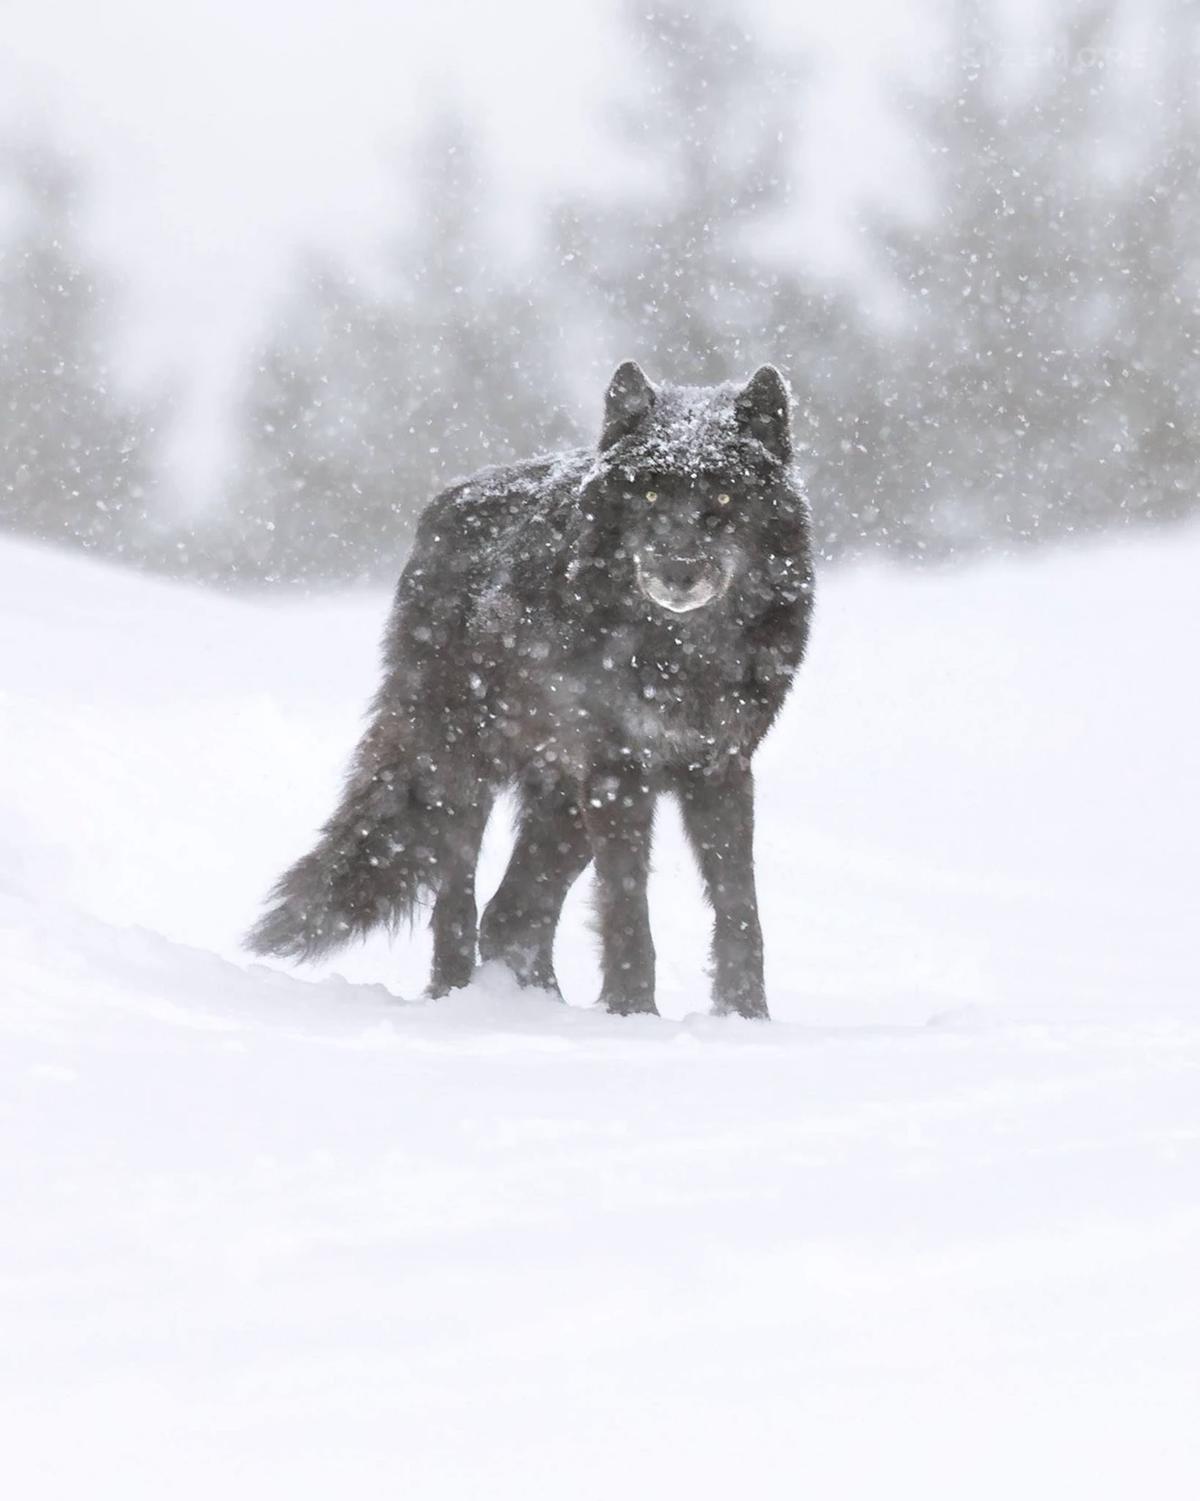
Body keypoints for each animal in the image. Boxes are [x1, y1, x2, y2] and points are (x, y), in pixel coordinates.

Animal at [247, 362, 814, 1018]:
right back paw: (458, 997)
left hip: (561, 799)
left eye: (723, 497)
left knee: (512, 913)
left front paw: (747, 1020)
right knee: (460, 904)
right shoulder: (618, 771)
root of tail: (443, 505)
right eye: (649, 494)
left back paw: (540, 1004)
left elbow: (739, 909)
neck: (680, 653)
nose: (678, 571)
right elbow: (628, 909)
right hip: (459, 774)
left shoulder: (723, 767)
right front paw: (633, 1015)